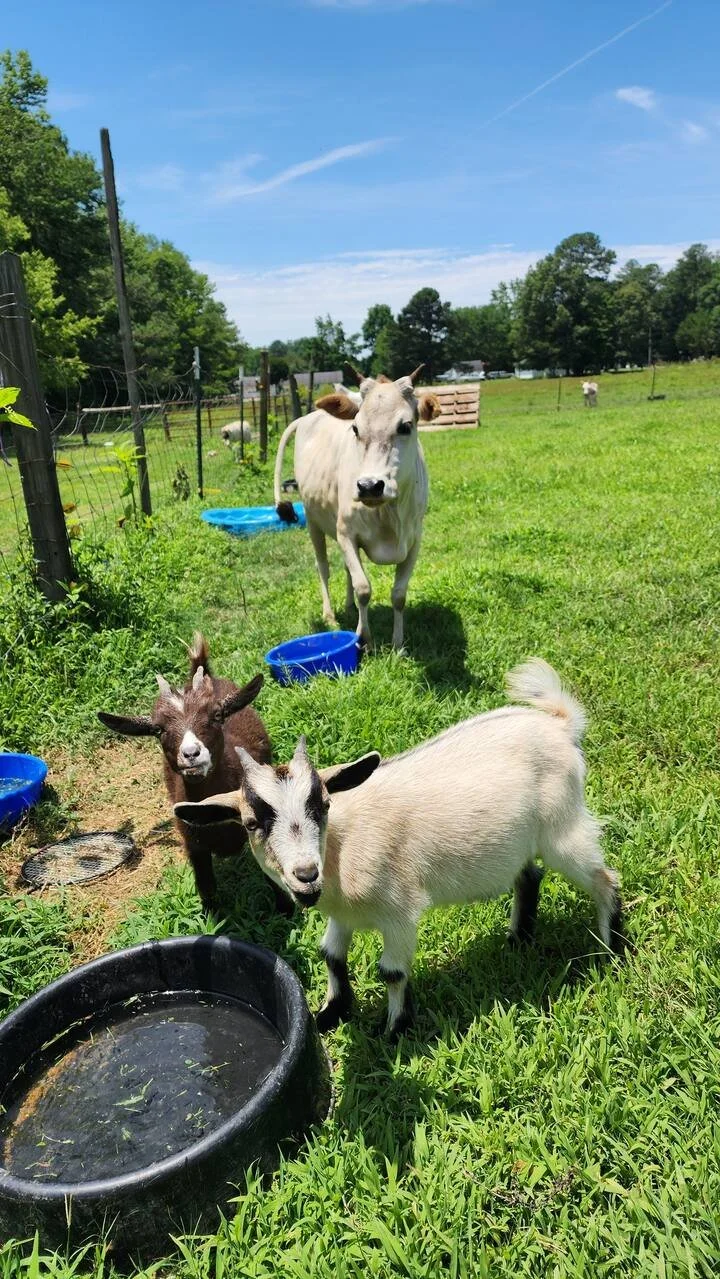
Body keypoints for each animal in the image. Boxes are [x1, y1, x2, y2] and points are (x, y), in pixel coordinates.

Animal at [98, 634, 290, 916]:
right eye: (158, 729)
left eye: (217, 715)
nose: (191, 754)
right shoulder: (193, 843)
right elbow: (206, 886)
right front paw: (212, 918)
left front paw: (284, 911)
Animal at [175, 659, 625, 1037]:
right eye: (253, 823)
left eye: (323, 805)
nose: (305, 875)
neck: (340, 852)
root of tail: (559, 725)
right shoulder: (341, 915)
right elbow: (330, 955)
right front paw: (331, 1013)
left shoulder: (400, 913)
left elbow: (391, 971)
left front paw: (394, 1031)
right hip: (523, 840)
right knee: (529, 875)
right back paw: (518, 939)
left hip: (562, 828)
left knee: (604, 878)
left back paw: (612, 951)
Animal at [274, 366, 441, 650]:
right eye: (355, 428)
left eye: (405, 426)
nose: (369, 486)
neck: (388, 514)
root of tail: (309, 416)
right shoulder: (345, 533)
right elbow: (364, 588)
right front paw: (365, 638)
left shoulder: (414, 540)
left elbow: (398, 594)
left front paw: (398, 643)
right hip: (312, 520)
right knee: (323, 567)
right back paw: (330, 614)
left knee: (346, 570)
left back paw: (349, 606)